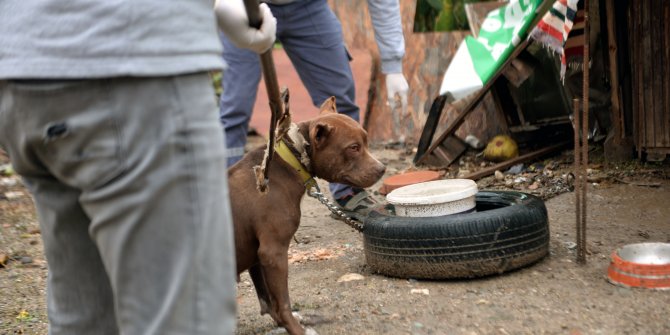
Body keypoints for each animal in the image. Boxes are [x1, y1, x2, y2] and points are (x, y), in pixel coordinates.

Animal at [228, 96, 386, 334]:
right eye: (354, 147)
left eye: (366, 142)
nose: (382, 168)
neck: (290, 161)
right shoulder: (273, 253)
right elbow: (282, 303)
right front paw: (297, 329)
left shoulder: (257, 257)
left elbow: (269, 302)